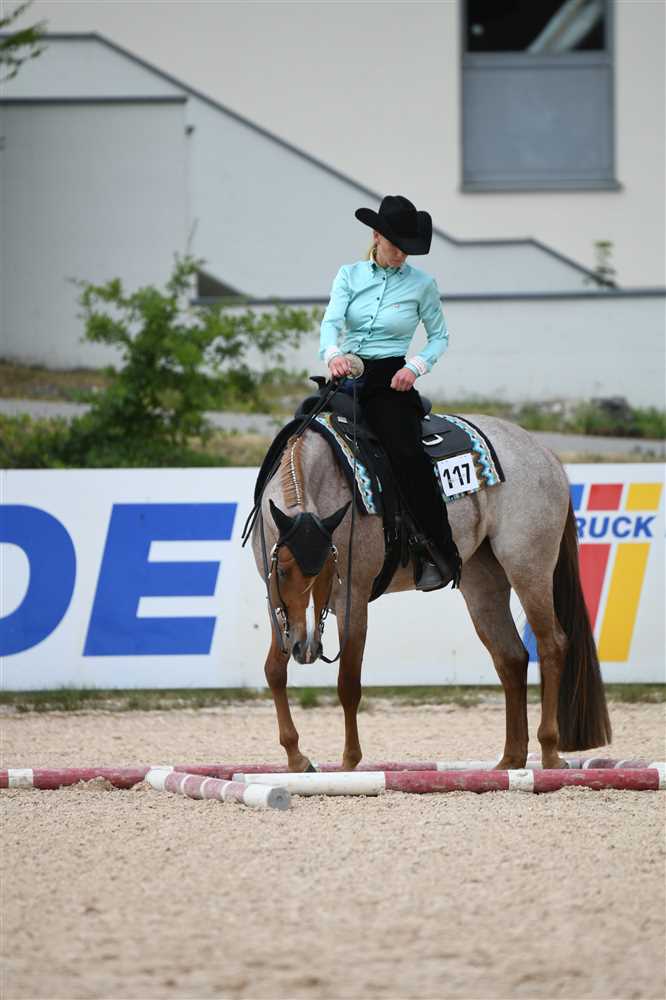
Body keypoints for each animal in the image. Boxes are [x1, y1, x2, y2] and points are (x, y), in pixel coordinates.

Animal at [251, 413, 612, 773]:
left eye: (330, 573)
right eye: (282, 572)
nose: (306, 647)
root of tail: (545, 453)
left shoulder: (353, 599)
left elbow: (348, 684)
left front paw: (349, 763)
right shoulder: (277, 605)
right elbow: (274, 671)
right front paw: (296, 757)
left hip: (529, 568)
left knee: (552, 646)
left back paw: (549, 752)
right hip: (482, 583)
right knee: (511, 657)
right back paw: (510, 759)